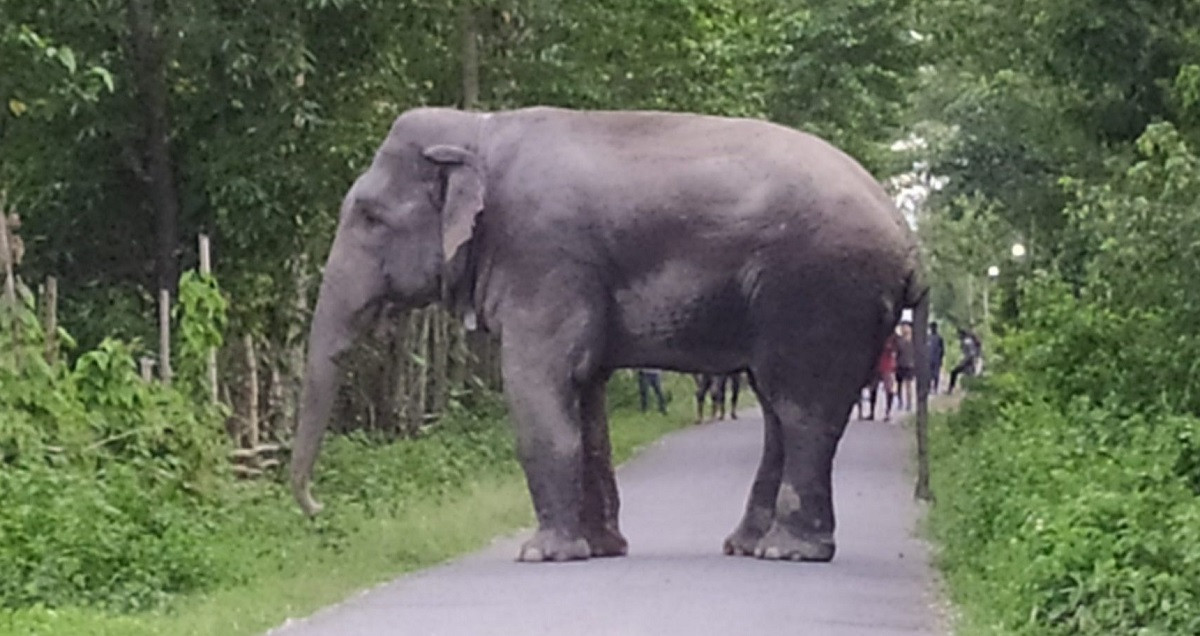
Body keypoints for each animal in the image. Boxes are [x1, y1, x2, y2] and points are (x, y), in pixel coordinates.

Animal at [290, 105, 926, 564]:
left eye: (370, 218)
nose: (316, 507)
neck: (478, 128)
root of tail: (907, 238)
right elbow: (586, 394)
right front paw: (599, 550)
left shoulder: (544, 256)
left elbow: (536, 384)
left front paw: (542, 555)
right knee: (778, 412)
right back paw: (748, 547)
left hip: (820, 292)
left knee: (803, 411)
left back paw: (791, 553)